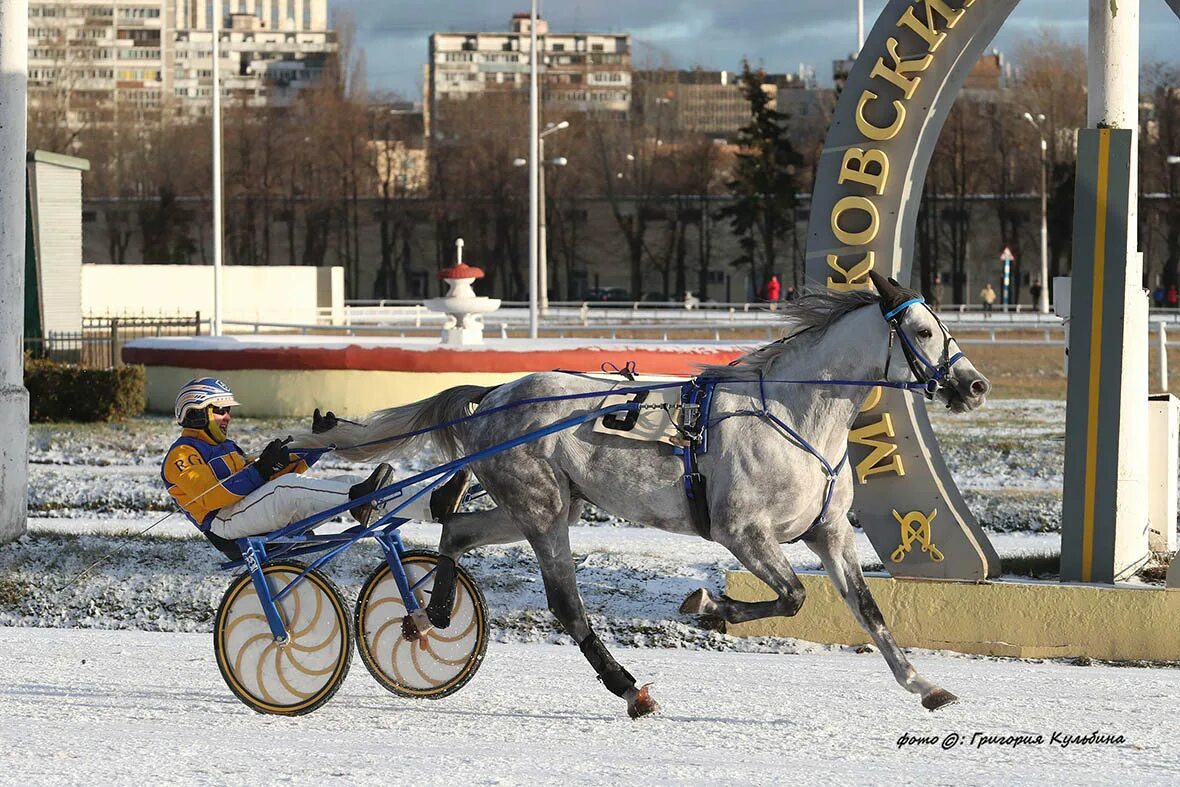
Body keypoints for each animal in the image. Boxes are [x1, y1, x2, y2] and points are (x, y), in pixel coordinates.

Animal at [302, 276, 986, 722]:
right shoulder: (742, 532)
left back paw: (435, 610)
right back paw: (628, 687)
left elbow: (869, 610)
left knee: (460, 530)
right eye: (923, 330)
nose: (974, 385)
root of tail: (495, 395)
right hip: (542, 509)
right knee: (566, 605)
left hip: (548, 504)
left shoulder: (831, 533)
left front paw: (924, 684)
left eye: (943, 326)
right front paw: (709, 605)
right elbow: (792, 597)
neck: (794, 416)